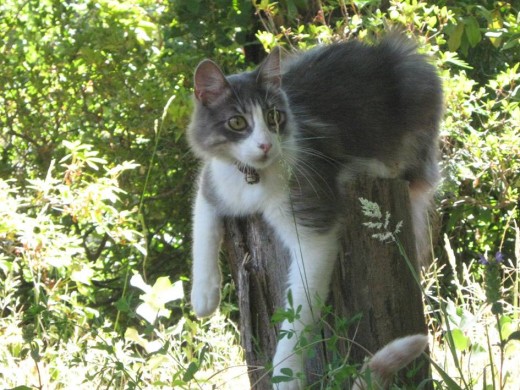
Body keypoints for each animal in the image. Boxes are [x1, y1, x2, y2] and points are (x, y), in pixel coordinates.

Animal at [187, 35, 442, 388]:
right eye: (237, 122)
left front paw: (285, 376)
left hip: (416, 95)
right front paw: (203, 297)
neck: (252, 181)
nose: (266, 145)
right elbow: (203, 234)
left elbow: (297, 320)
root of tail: (380, 47)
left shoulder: (313, 230)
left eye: (274, 117)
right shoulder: (211, 185)